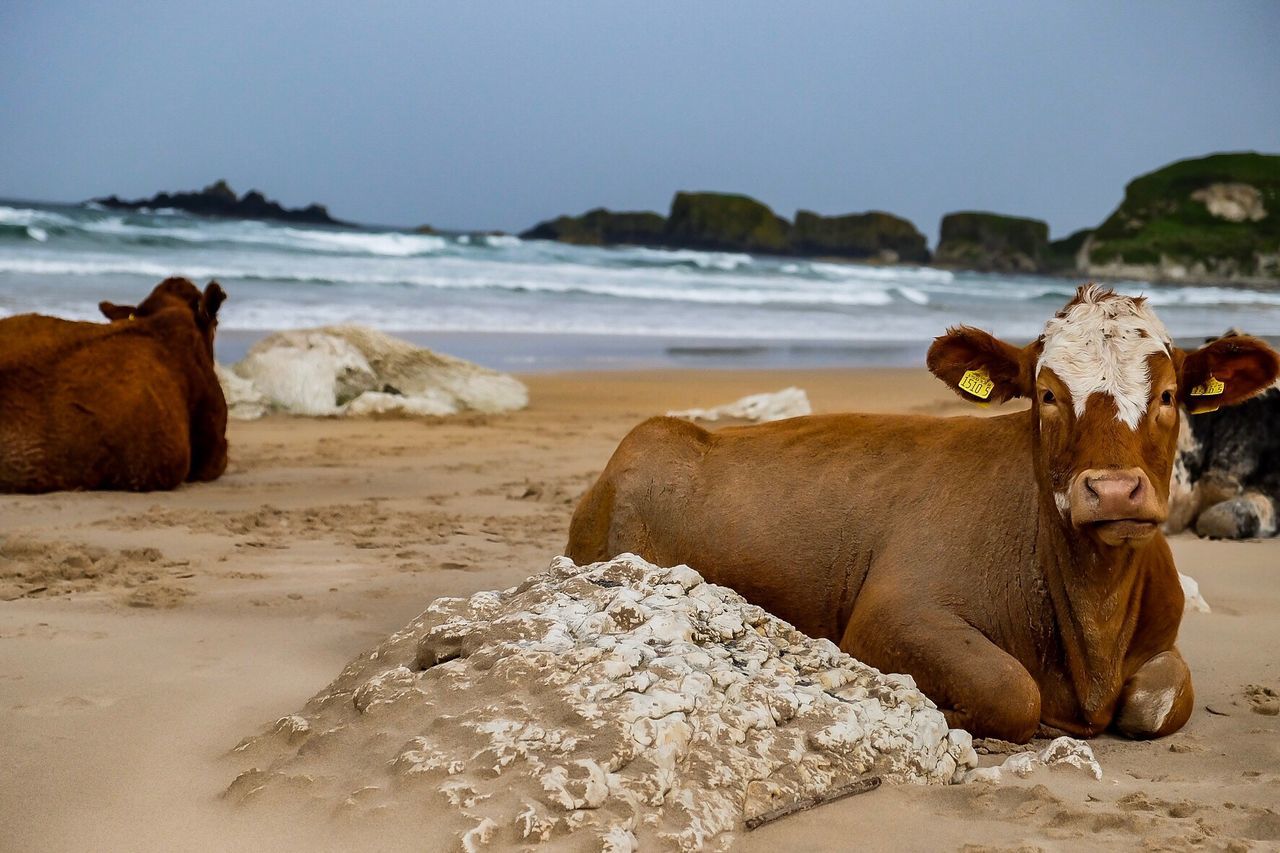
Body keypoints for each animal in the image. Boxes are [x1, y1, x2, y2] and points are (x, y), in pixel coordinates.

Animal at [570, 285, 1280, 737]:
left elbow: (1162, 702)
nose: (1111, 490)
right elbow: (1013, 692)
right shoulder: (890, 615)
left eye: (1168, 395)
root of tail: (656, 431)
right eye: (1047, 395)